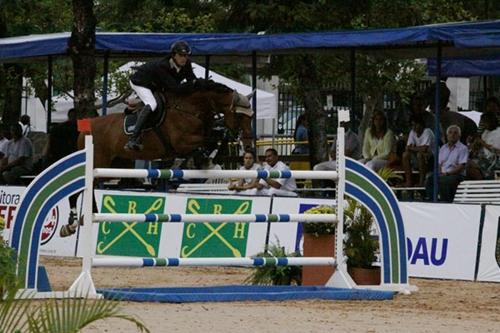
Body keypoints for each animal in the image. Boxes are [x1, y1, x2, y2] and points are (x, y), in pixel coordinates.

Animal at [59, 78, 254, 236]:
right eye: (239, 115)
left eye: (251, 117)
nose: (248, 144)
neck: (190, 109)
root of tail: (84, 129)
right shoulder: (182, 141)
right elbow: (211, 138)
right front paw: (208, 156)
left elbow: (214, 136)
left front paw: (207, 157)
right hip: (98, 163)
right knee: (80, 190)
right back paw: (73, 222)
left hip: (111, 167)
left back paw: (88, 216)